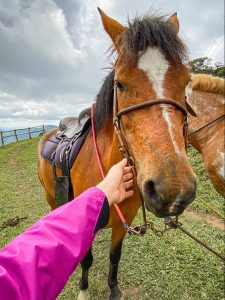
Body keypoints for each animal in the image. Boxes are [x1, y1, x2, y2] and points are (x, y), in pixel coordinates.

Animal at [37, 8, 197, 298]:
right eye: (120, 84)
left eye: (186, 82)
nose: (173, 190)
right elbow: (87, 259)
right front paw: (83, 289)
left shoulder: (124, 224)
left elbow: (115, 257)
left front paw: (113, 289)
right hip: (50, 196)